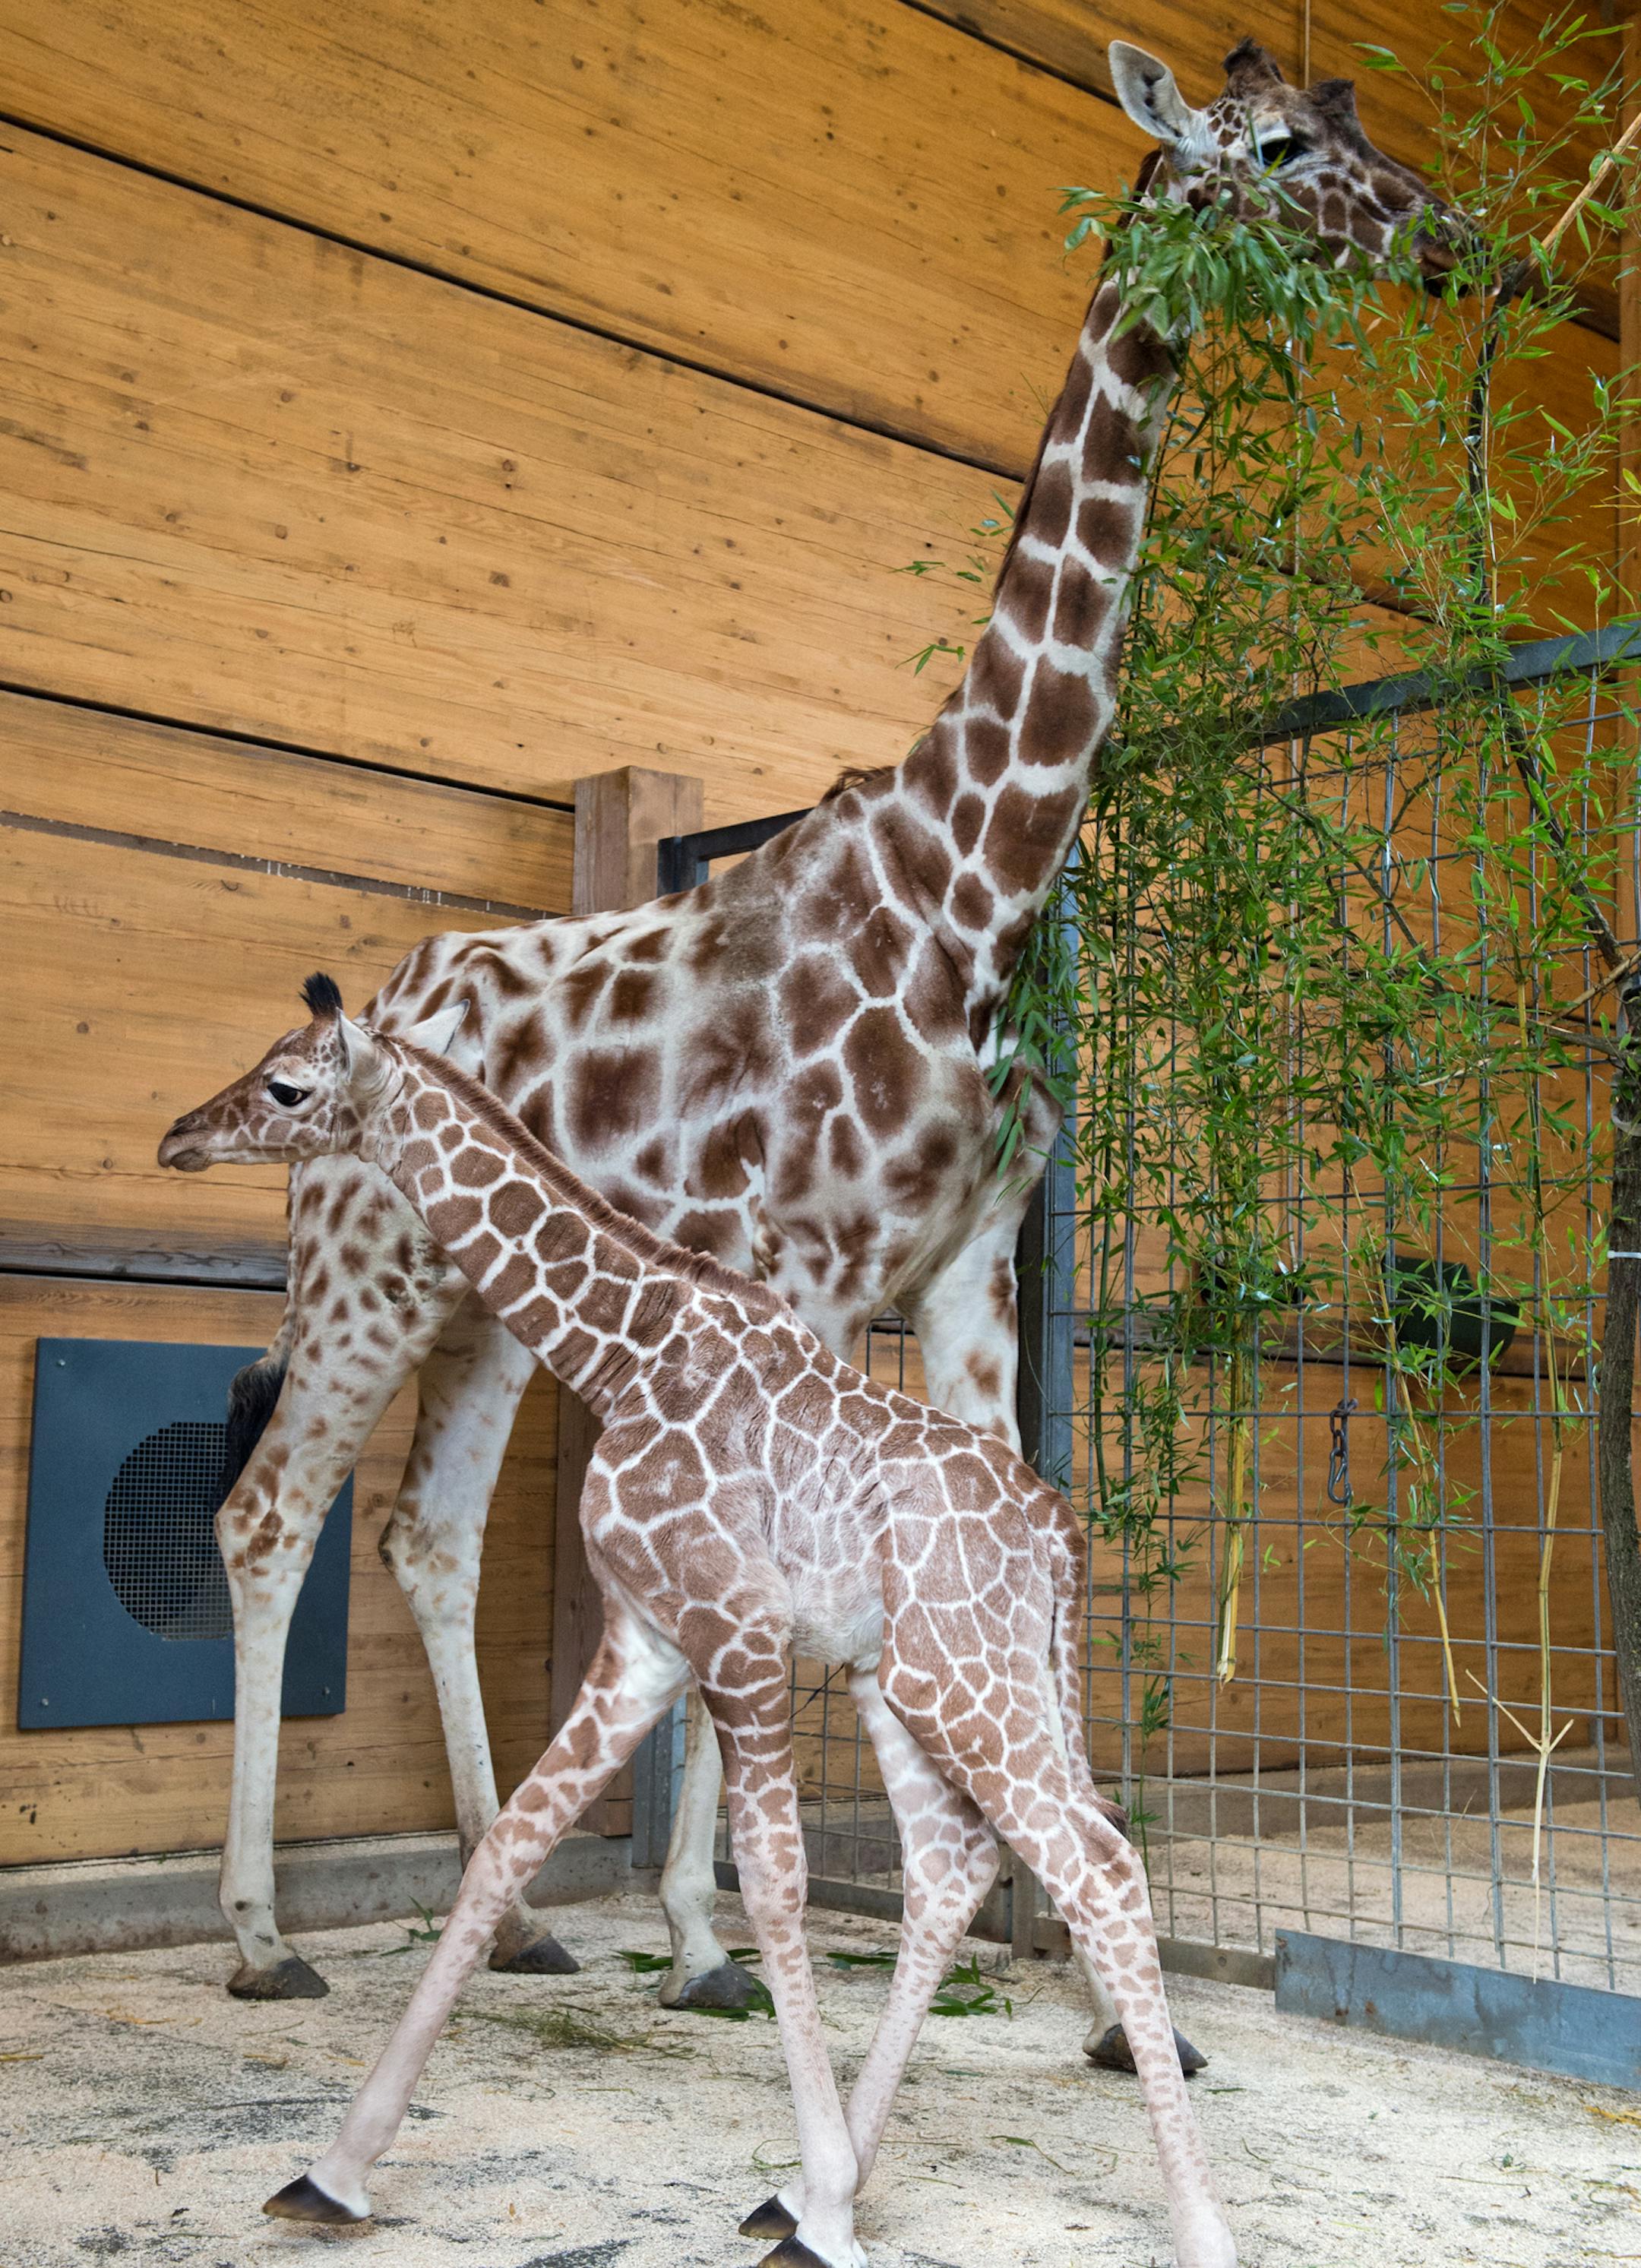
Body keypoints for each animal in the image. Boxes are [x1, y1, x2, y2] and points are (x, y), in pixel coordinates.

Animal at [159, 977, 1240, 2268]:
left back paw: (1193, 2227)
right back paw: (807, 2202)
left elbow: (770, 1882)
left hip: (967, 1681)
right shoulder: (645, 1641)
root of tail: (1064, 1544)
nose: (181, 1134)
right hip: (909, 1684)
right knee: (953, 1862)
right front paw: (333, 2171)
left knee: (1098, 1863)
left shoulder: (736, 1628)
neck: (620, 1352)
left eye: (285, 1086)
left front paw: (826, 2193)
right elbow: (507, 1847)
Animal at [200, 35, 1461, 2058]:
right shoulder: (794, 1270)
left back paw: (519, 1920)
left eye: (1360, 121)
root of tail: (370, 1000)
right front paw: (716, 1943)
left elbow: (1031, 1551)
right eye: (1276, 147)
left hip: (482, 1303)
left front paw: (1123, 2012)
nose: (1441, 240)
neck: (973, 883)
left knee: (424, 1534)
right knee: (269, 1518)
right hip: (363, 1266)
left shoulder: (961, 1274)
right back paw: (258, 1934)